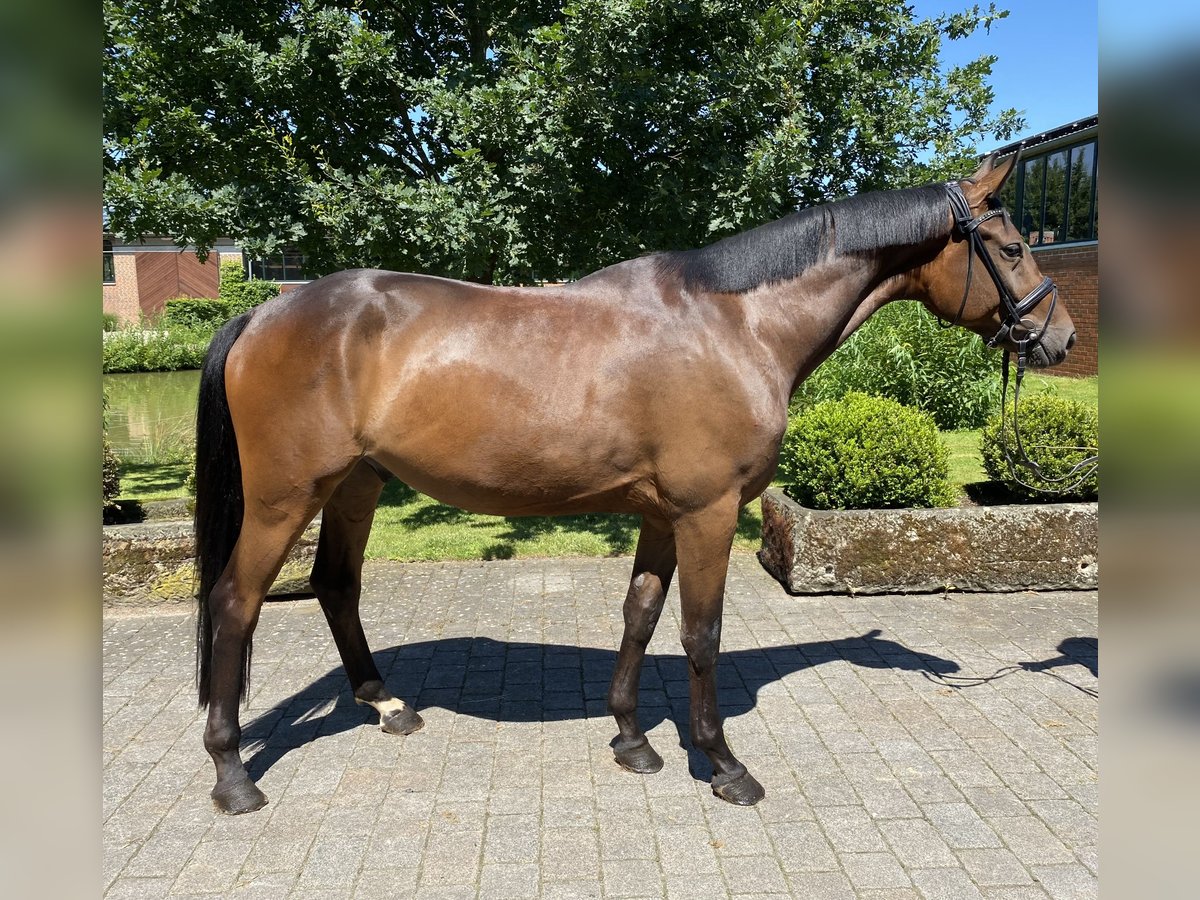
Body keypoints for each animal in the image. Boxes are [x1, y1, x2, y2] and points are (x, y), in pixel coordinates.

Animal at [194, 154, 1080, 816]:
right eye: (1009, 248)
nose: (1061, 338)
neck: (736, 324)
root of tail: (264, 313)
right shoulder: (709, 513)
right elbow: (701, 635)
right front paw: (722, 764)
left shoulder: (663, 515)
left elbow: (641, 616)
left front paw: (632, 740)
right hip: (284, 498)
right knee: (236, 603)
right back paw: (232, 774)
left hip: (355, 486)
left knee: (336, 586)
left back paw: (384, 705)